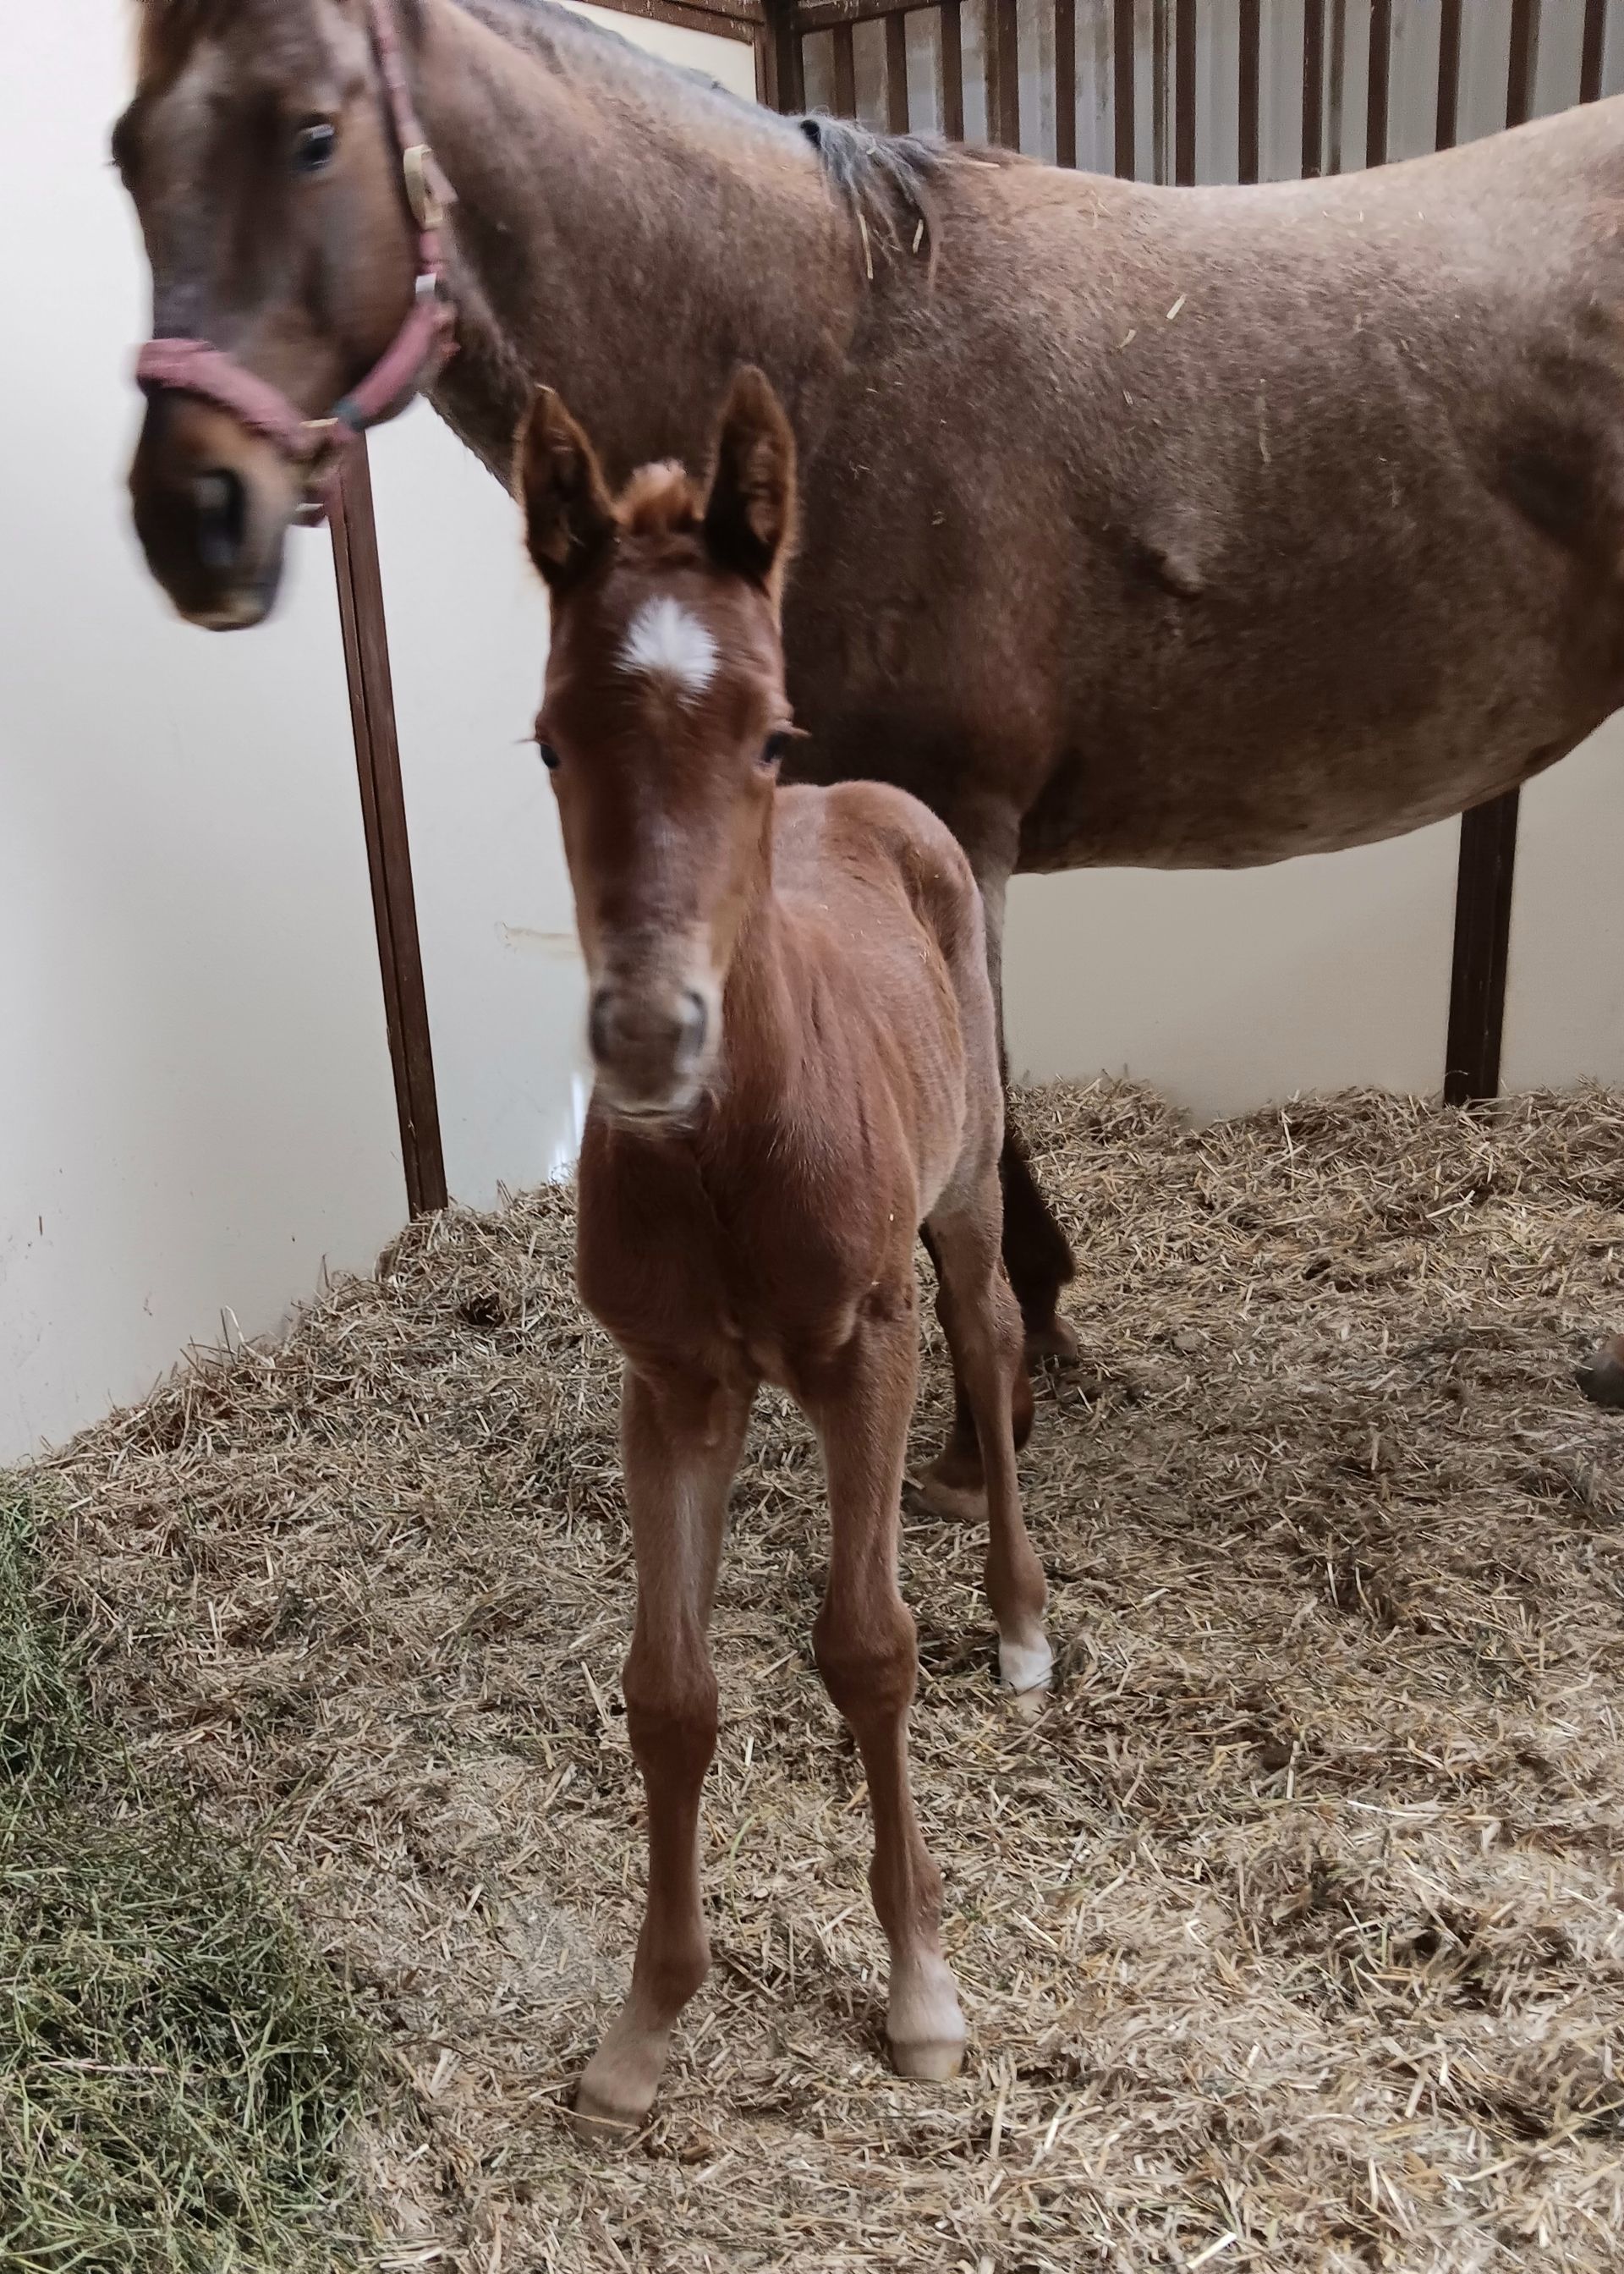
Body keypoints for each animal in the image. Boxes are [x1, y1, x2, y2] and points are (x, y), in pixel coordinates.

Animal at [118, 0, 1624, 1430]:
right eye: (128, 153)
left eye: (313, 136)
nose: (192, 515)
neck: (840, 358)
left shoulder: (955, 820)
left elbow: (977, 1079)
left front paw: (1021, 1339)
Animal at [515, 363, 1051, 2130]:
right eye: (550, 735)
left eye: (762, 730)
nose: (647, 1036)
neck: (730, 1153)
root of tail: (872, 800)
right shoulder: (671, 1384)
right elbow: (667, 1693)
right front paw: (645, 2018)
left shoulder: (863, 1344)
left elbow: (868, 1649)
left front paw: (924, 1989)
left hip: (962, 1189)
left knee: (994, 1333)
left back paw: (1022, 1619)